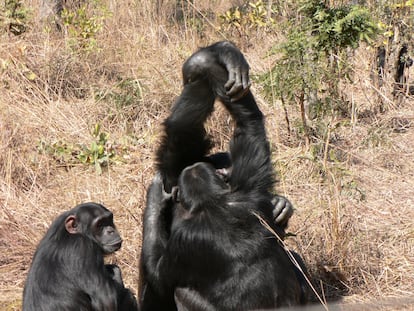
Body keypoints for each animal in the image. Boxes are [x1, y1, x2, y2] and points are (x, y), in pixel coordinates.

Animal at [139, 42, 308, 311]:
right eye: (225, 175)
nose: (228, 178)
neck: (215, 202)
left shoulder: (184, 243)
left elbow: (159, 272)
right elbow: (244, 123)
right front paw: (221, 56)